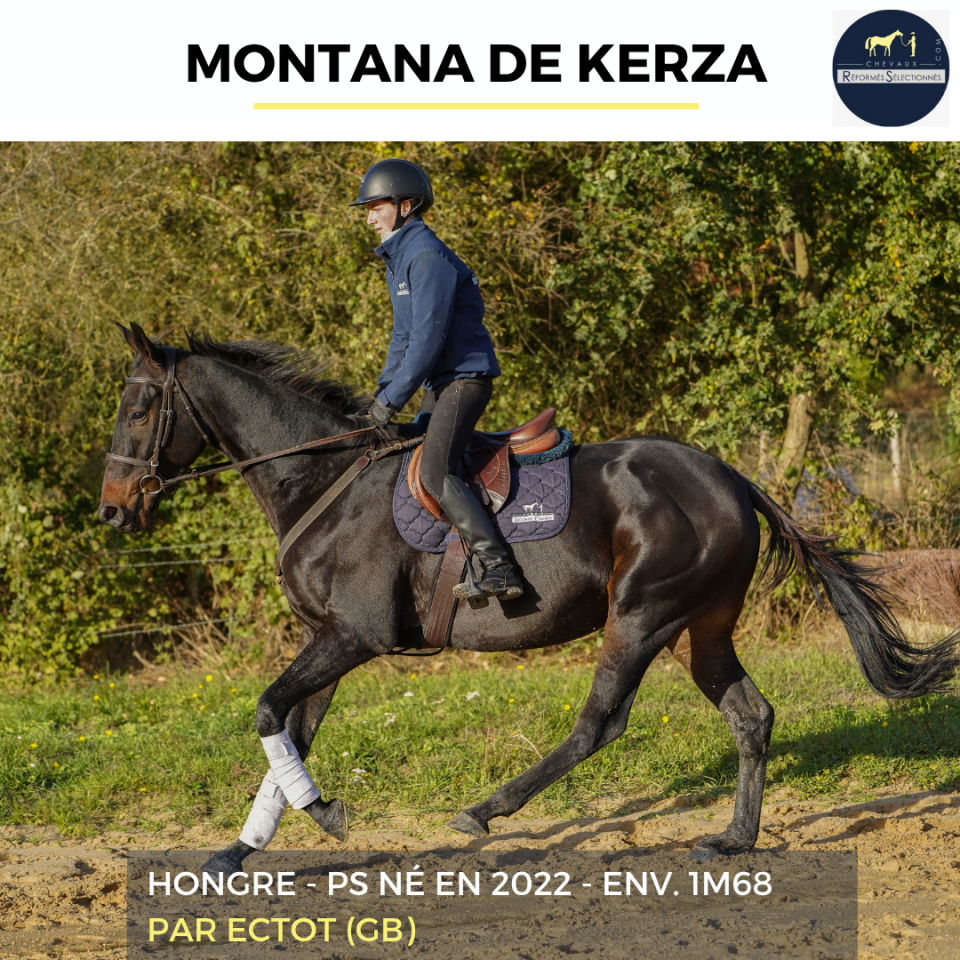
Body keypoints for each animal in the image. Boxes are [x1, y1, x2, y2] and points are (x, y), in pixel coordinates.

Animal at [99, 323, 959, 872]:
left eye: (139, 405)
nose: (112, 511)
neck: (321, 478)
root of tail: (729, 476)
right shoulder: (329, 640)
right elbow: (291, 732)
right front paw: (237, 852)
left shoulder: (352, 637)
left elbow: (270, 714)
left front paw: (324, 816)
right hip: (699, 626)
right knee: (751, 716)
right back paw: (735, 840)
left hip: (641, 615)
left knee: (599, 723)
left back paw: (487, 810)